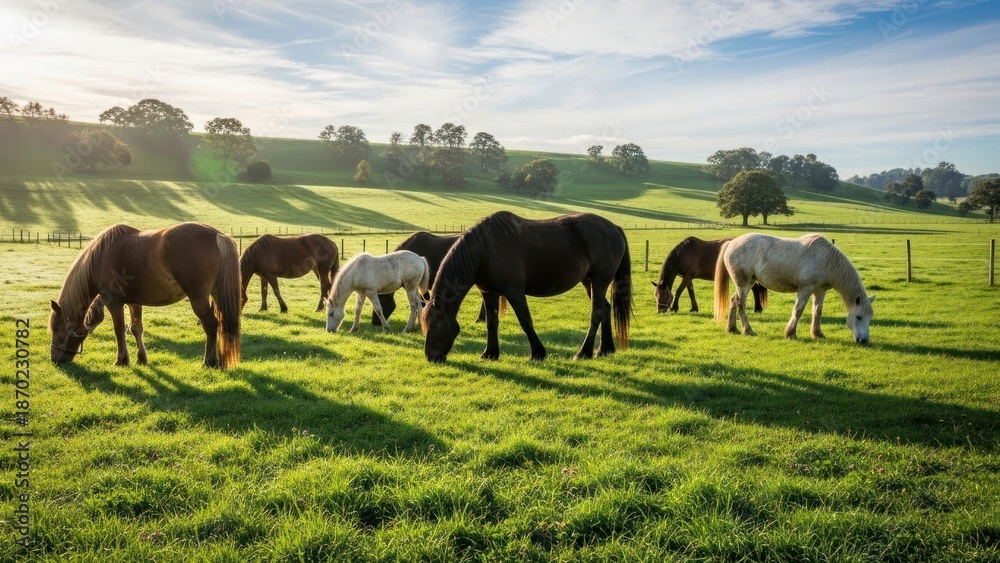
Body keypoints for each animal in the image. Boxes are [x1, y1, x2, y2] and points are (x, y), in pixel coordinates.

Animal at [49, 223, 241, 368]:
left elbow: (119, 330)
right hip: (217, 295)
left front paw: (121, 360)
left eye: (56, 329)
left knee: (211, 324)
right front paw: (141, 358)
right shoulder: (134, 302)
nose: (55, 359)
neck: (100, 257)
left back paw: (209, 361)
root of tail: (217, 235)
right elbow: (136, 328)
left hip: (198, 299)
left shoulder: (114, 303)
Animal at [421, 211, 633, 363]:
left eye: (435, 324)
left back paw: (584, 352)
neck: (485, 251)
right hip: (589, 281)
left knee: (596, 313)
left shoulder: (514, 292)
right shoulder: (488, 292)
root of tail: (614, 227)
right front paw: (490, 353)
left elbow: (525, 321)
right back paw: (605, 349)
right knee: (605, 309)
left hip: (599, 280)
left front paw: (538, 353)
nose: (431, 356)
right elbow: (492, 323)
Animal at [713, 233, 875, 343]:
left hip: (749, 282)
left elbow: (817, 312)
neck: (827, 261)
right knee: (740, 304)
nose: (864, 341)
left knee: (733, 301)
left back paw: (732, 328)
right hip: (743, 283)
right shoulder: (805, 289)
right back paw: (748, 330)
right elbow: (798, 310)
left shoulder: (820, 291)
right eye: (858, 317)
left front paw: (818, 334)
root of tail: (732, 242)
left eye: (870, 318)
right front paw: (790, 333)